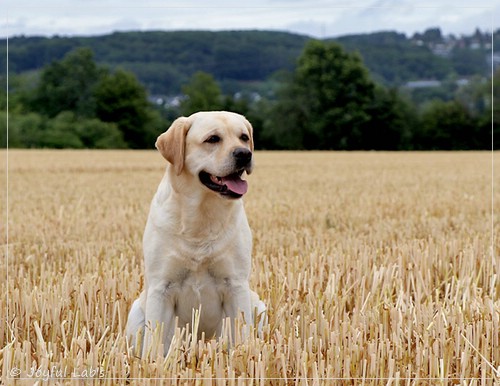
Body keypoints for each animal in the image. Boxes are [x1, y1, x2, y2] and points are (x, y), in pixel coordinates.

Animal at [125, 109, 266, 356]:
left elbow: (241, 336)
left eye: (243, 137)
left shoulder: (236, 284)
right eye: (213, 139)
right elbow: (154, 342)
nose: (245, 154)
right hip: (135, 315)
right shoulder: (161, 287)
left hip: (258, 305)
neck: (201, 216)